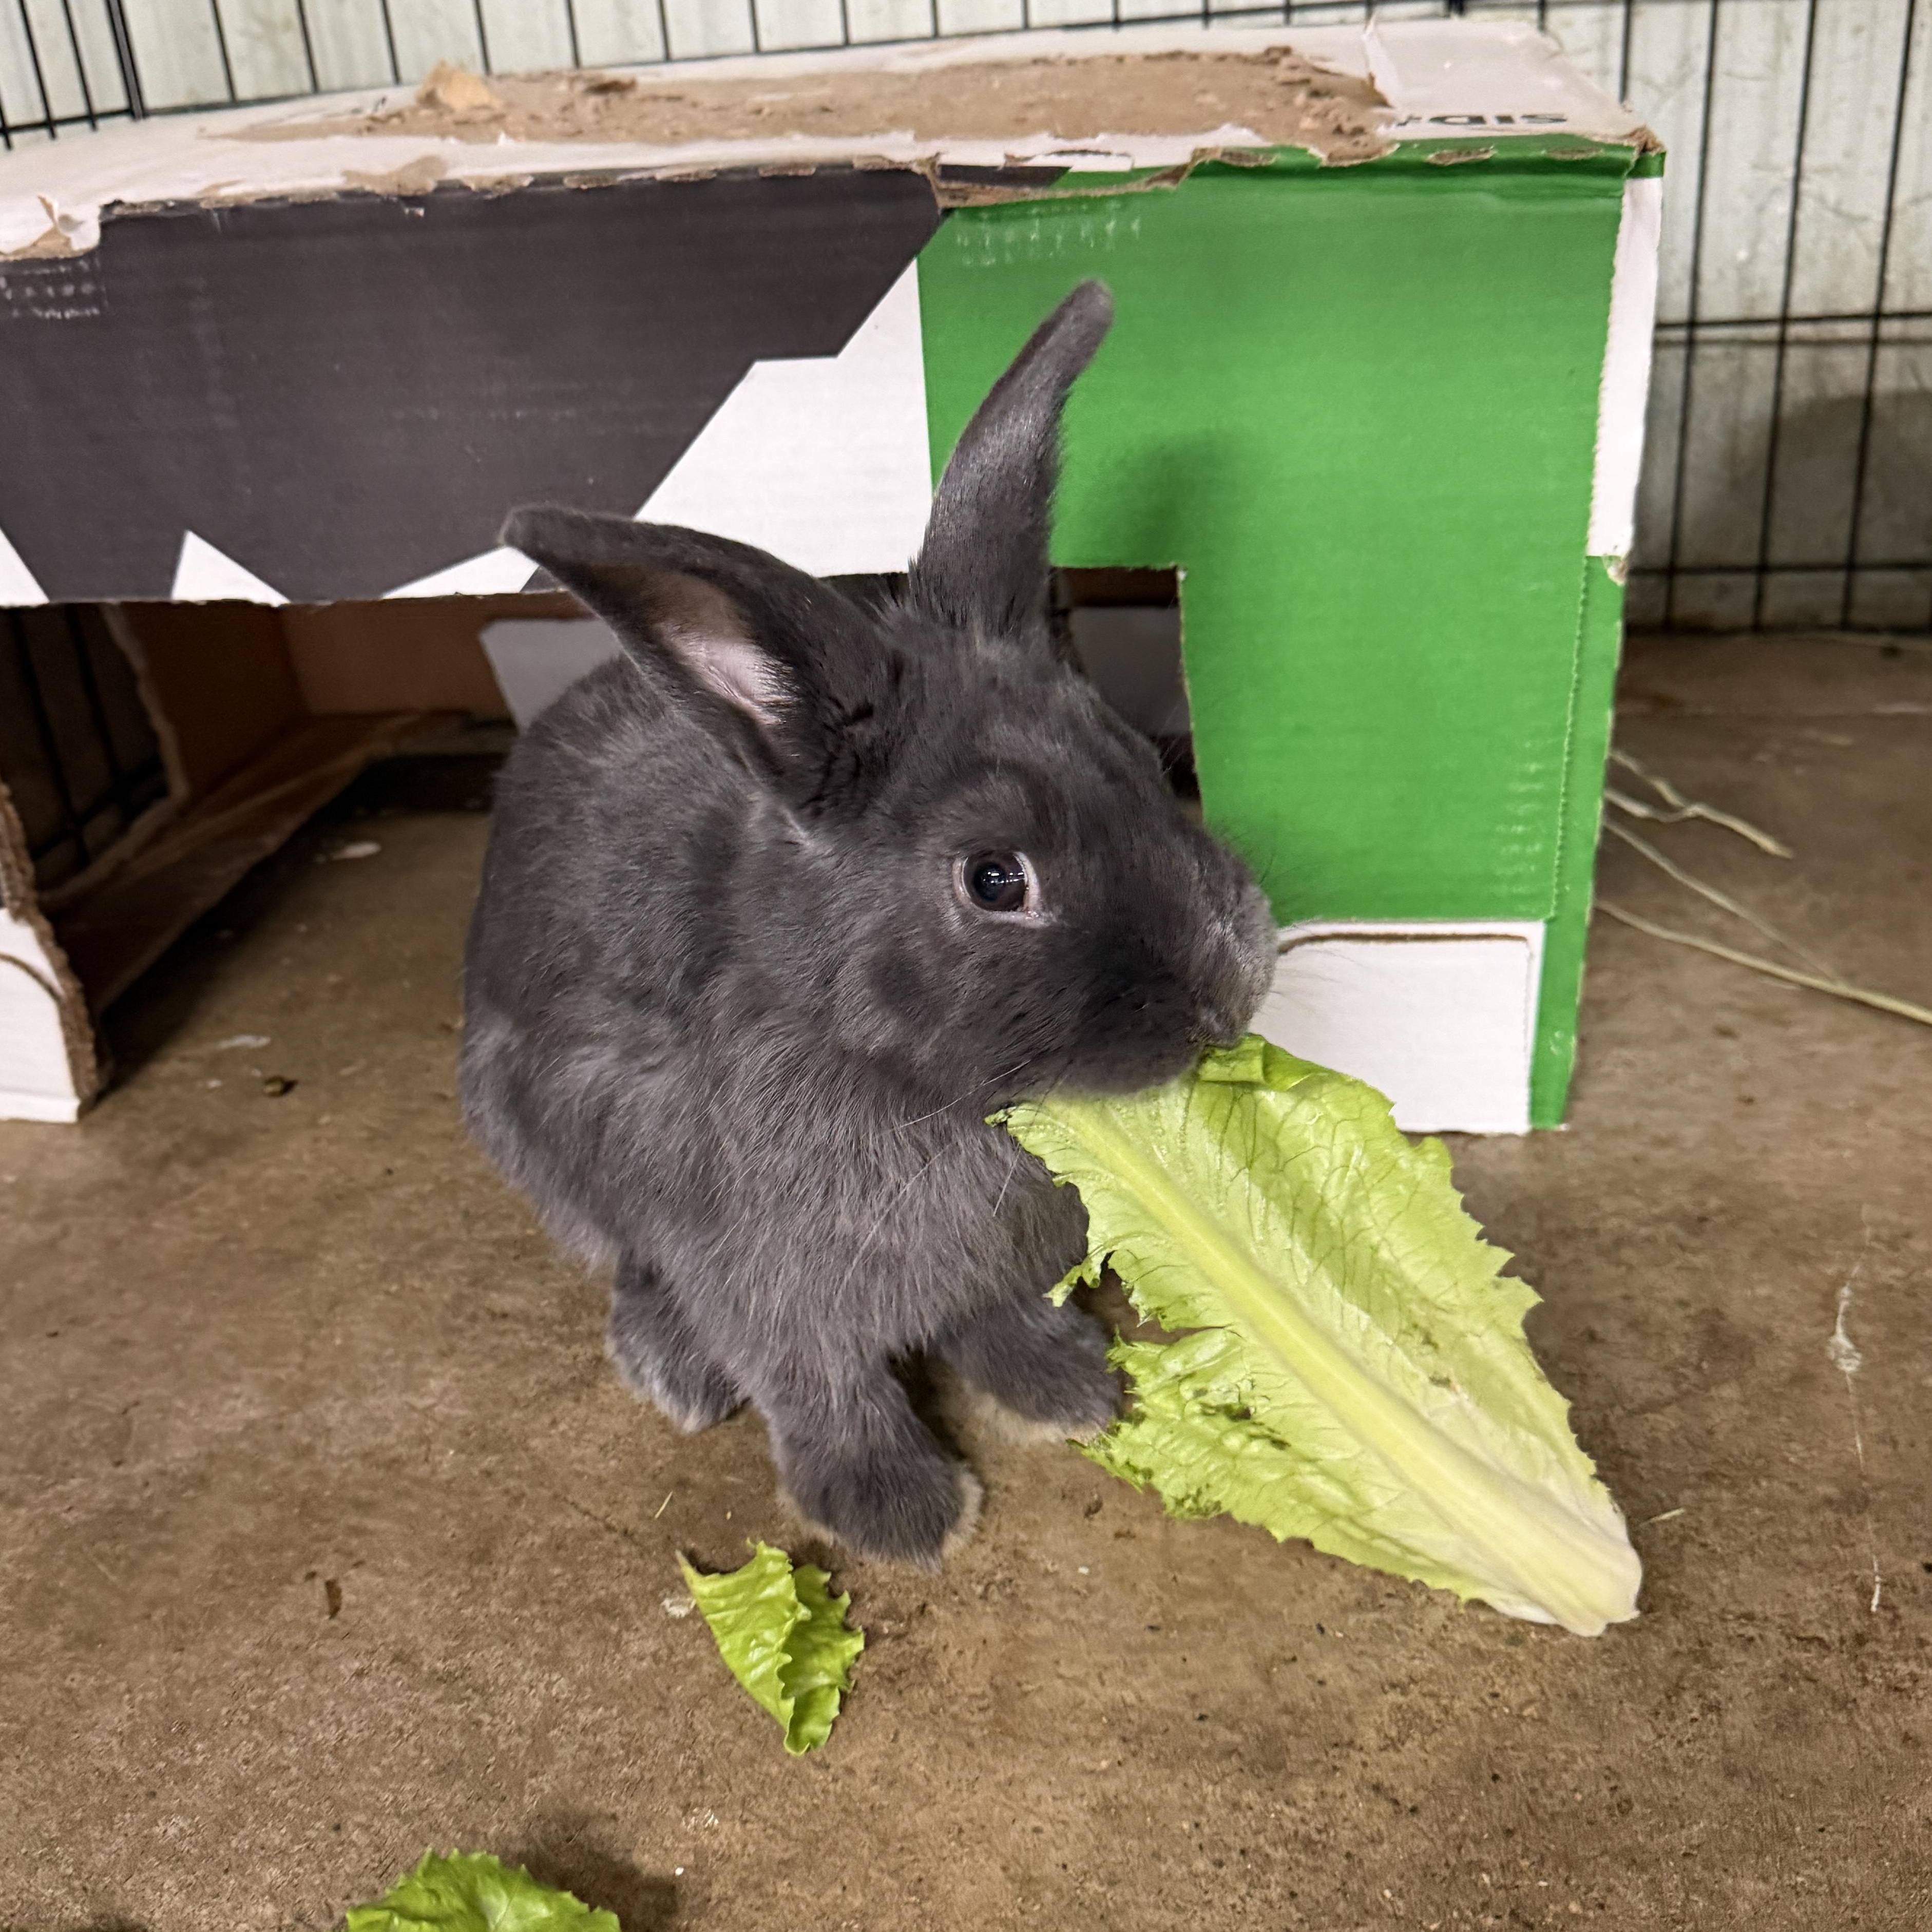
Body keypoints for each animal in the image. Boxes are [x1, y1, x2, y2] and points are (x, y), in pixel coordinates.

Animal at [459, 280, 1278, 1568]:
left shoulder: (994, 1258)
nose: (1231, 985)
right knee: (624, 1263)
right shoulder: (761, 1280)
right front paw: (900, 1515)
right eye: (994, 879)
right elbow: (821, 1385)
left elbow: (998, 1313)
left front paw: (1068, 1391)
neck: (909, 1085)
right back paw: (675, 1371)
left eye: (1147, 762)